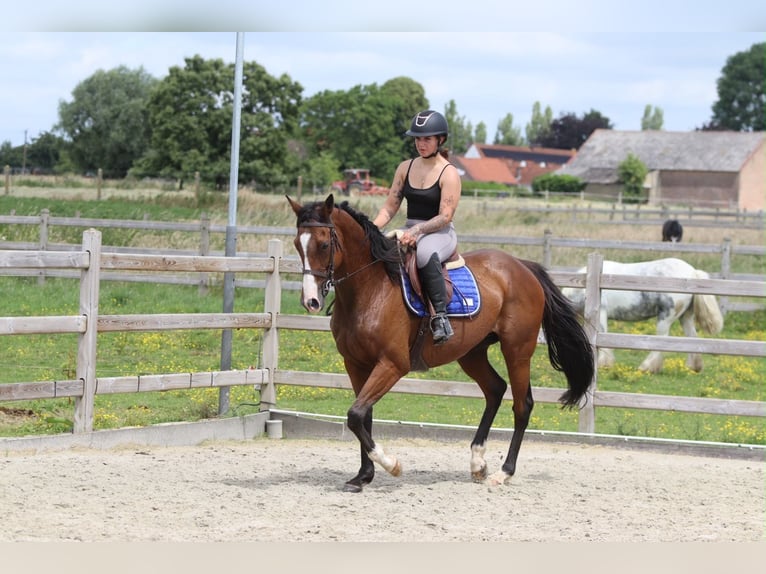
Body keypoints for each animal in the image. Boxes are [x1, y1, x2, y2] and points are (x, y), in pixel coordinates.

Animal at [287, 194, 595, 492]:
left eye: (324, 244)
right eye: (297, 244)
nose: (310, 301)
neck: (370, 288)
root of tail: (522, 266)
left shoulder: (392, 365)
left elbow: (355, 414)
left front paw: (392, 465)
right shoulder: (355, 364)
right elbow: (364, 415)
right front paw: (363, 476)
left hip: (517, 350)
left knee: (523, 405)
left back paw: (503, 473)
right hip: (472, 353)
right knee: (495, 389)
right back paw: (477, 462)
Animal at [561, 257, 724, 374]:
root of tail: (692, 272)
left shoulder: (601, 312)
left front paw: (604, 364)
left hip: (665, 318)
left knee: (661, 341)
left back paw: (647, 367)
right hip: (686, 318)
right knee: (692, 338)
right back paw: (693, 366)